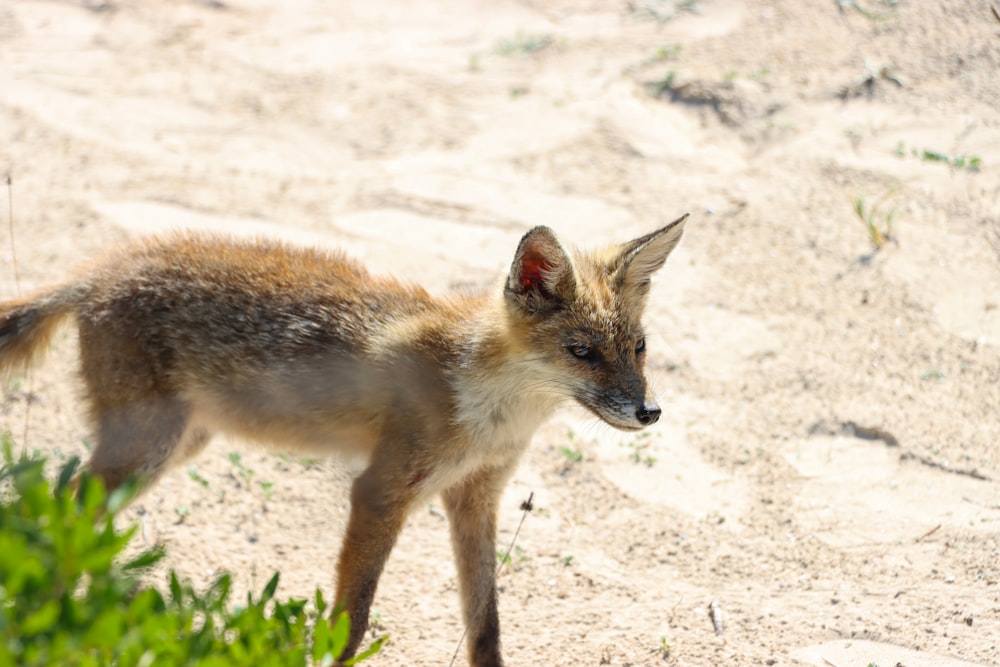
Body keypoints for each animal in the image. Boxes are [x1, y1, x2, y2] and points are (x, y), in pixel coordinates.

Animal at [0, 217, 688, 664]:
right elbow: (352, 619)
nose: (650, 412)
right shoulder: (380, 490)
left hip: (177, 443)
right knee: (61, 509)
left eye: (638, 348)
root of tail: (99, 271)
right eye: (581, 352)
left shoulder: (476, 497)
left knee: (69, 504)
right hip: (148, 445)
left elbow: (485, 625)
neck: (489, 409)